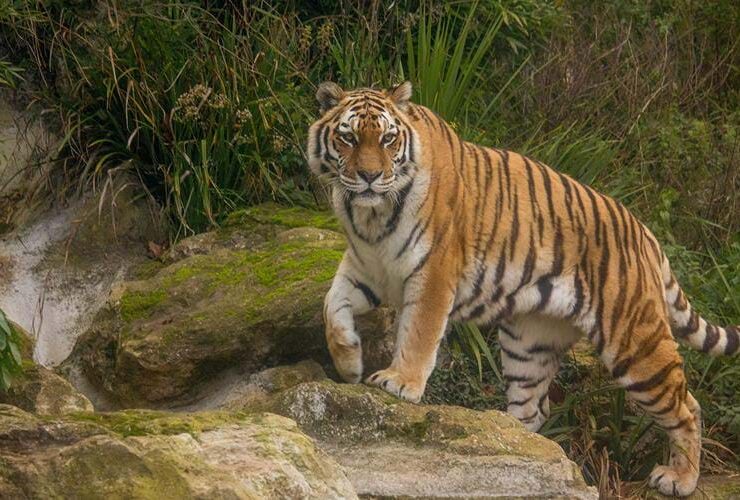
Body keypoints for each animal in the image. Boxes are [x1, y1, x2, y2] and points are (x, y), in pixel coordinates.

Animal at [306, 80, 739, 497]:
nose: (369, 177)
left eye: (387, 140)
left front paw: (399, 382)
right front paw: (349, 362)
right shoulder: (366, 268)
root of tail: (644, 233)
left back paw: (679, 479)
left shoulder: (433, 275)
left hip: (634, 343)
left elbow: (417, 335)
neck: (369, 216)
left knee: (687, 407)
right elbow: (331, 306)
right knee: (534, 412)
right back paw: (508, 441)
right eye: (348, 138)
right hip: (529, 344)